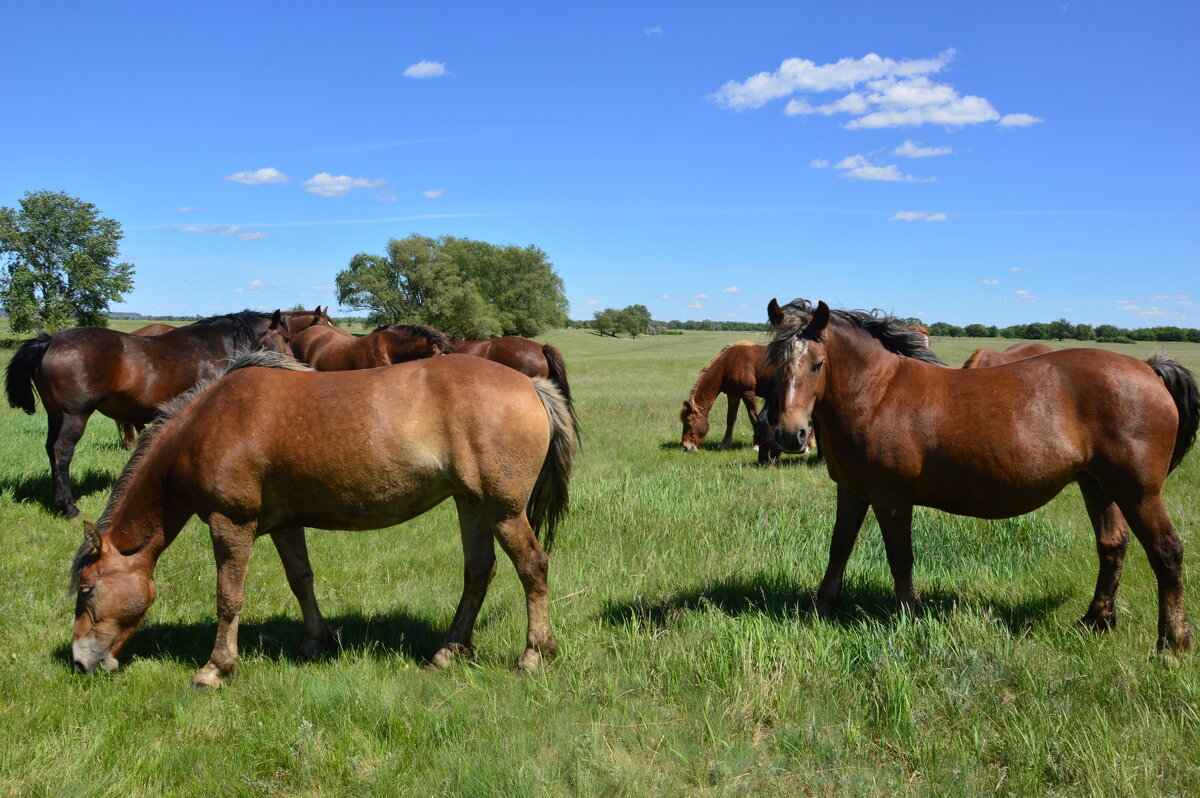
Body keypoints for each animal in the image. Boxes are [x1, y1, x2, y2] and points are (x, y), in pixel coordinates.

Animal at [5, 307, 291, 520]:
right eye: (286, 338)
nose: (294, 363)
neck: (212, 346)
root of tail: (50, 340)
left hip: (56, 415)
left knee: (50, 449)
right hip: (74, 416)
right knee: (62, 452)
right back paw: (68, 507)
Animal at [69, 352, 576, 686]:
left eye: (87, 589)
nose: (77, 662)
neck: (206, 424)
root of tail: (531, 384)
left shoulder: (230, 524)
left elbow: (228, 597)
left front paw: (216, 669)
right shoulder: (284, 524)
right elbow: (301, 580)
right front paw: (316, 641)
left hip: (503, 510)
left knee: (532, 568)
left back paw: (534, 655)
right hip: (471, 504)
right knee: (478, 573)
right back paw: (449, 652)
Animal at [768, 295, 1200, 657]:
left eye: (817, 364)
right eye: (775, 362)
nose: (791, 435)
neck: (877, 393)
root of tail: (1148, 368)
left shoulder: (891, 498)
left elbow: (900, 557)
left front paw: (907, 616)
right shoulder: (852, 491)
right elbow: (839, 547)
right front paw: (822, 606)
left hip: (1138, 493)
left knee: (1166, 552)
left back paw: (1172, 643)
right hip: (1098, 486)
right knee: (1112, 546)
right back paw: (1096, 621)